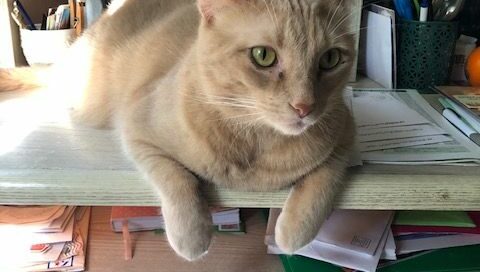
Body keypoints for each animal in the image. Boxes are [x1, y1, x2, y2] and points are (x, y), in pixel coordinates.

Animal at [0, 0, 356, 262]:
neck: (255, 141)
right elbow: (177, 179)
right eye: (263, 56)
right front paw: (192, 235)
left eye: (330, 59)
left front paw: (292, 233)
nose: (305, 107)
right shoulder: (139, 131)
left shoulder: (345, 136)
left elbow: (323, 181)